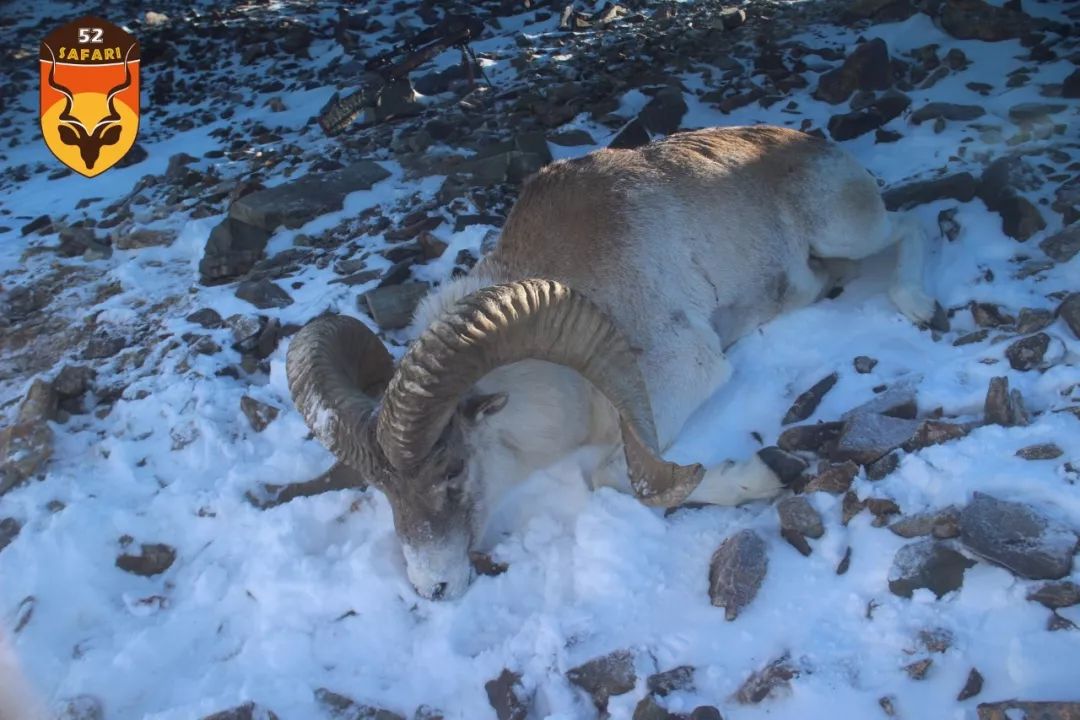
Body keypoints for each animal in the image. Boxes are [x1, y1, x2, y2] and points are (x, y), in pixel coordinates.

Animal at [287, 126, 937, 600]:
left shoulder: (685, 372)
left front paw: (766, 471)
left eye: (451, 470)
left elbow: (610, 475)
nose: (432, 588)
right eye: (383, 490)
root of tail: (812, 143)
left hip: (844, 231)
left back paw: (918, 303)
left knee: (910, 226)